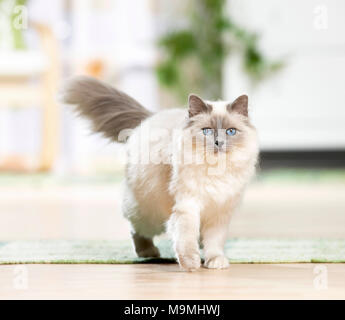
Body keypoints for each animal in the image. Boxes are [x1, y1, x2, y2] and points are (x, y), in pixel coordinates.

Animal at [64, 76, 258, 272]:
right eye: (207, 131)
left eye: (231, 131)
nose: (219, 143)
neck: (217, 171)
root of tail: (149, 118)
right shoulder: (188, 206)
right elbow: (186, 239)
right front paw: (191, 265)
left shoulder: (219, 212)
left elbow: (214, 242)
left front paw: (215, 261)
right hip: (148, 215)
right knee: (136, 230)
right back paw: (148, 252)